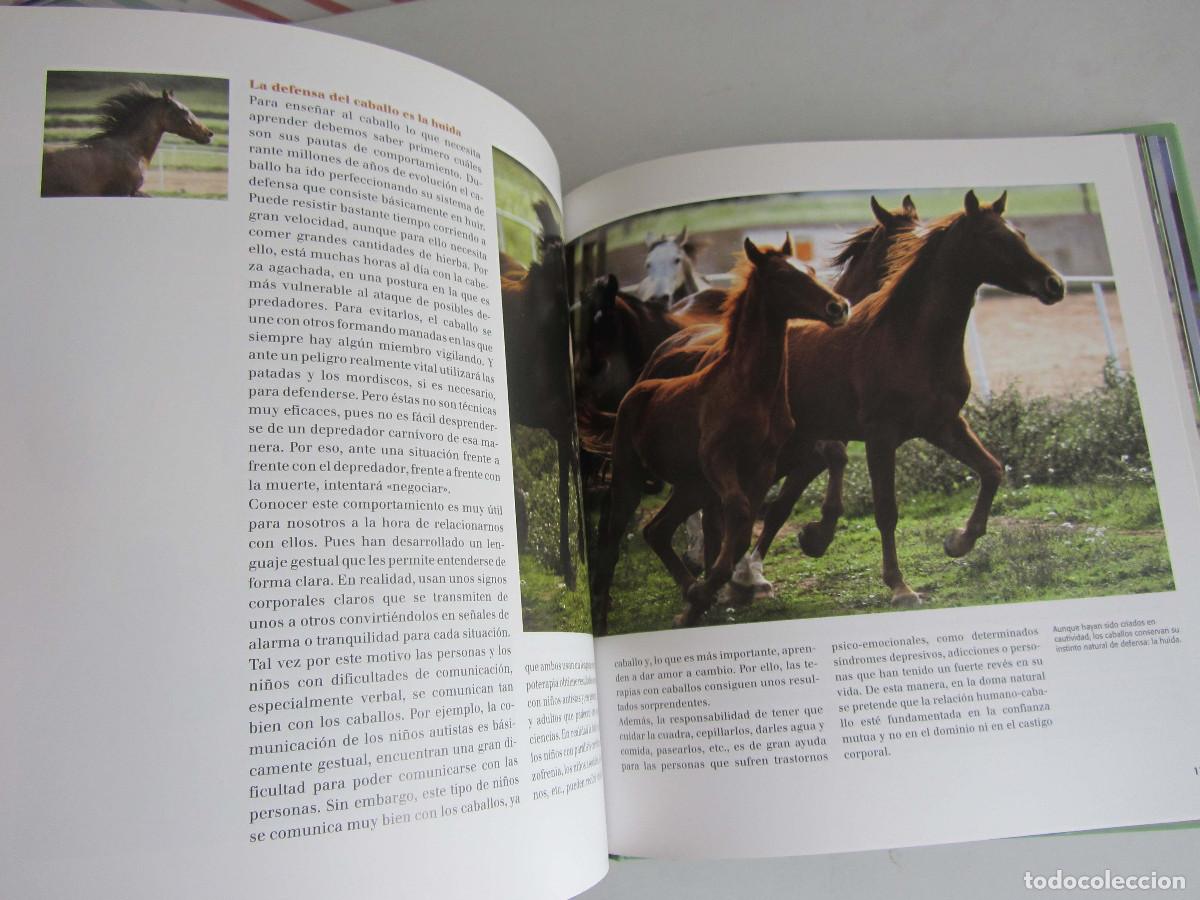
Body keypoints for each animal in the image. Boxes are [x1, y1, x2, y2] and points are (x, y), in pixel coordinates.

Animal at [587, 236, 851, 632]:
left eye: (811, 270)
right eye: (783, 275)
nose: (838, 307)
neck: (749, 389)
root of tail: (637, 388)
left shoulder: (763, 468)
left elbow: (742, 529)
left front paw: (709, 595)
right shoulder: (719, 460)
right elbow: (738, 518)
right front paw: (720, 590)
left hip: (692, 487)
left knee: (656, 530)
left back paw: (692, 595)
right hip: (629, 479)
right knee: (611, 542)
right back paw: (606, 617)